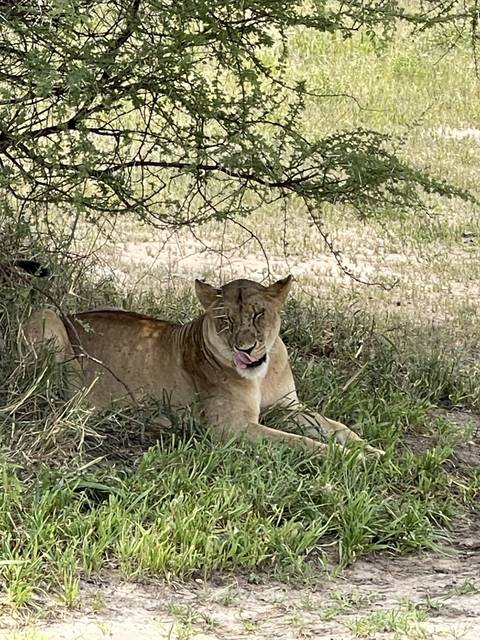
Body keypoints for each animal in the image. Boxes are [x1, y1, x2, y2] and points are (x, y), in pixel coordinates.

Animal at [23, 276, 383, 456]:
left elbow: (337, 428)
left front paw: (373, 451)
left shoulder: (291, 407)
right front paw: (349, 457)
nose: (245, 349)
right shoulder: (230, 428)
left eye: (258, 314)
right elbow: (298, 442)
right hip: (46, 317)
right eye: (226, 320)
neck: (261, 375)